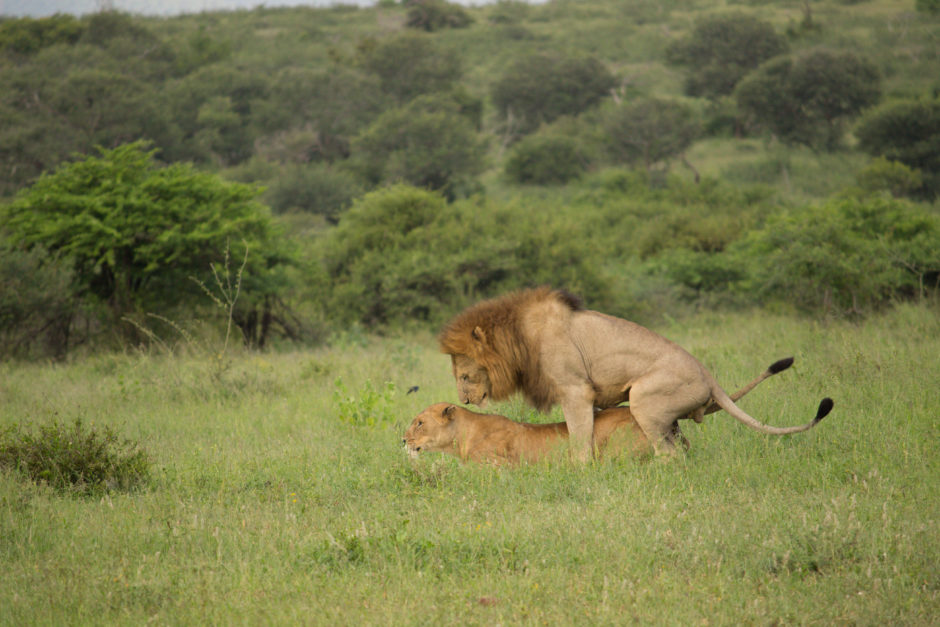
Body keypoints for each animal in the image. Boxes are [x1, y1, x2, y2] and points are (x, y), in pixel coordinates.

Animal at [438, 288, 828, 462]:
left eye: (465, 377)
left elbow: (579, 439)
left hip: (644, 398)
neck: (519, 337)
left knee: (669, 454)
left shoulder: (575, 390)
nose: (463, 399)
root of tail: (709, 376)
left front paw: (579, 470)